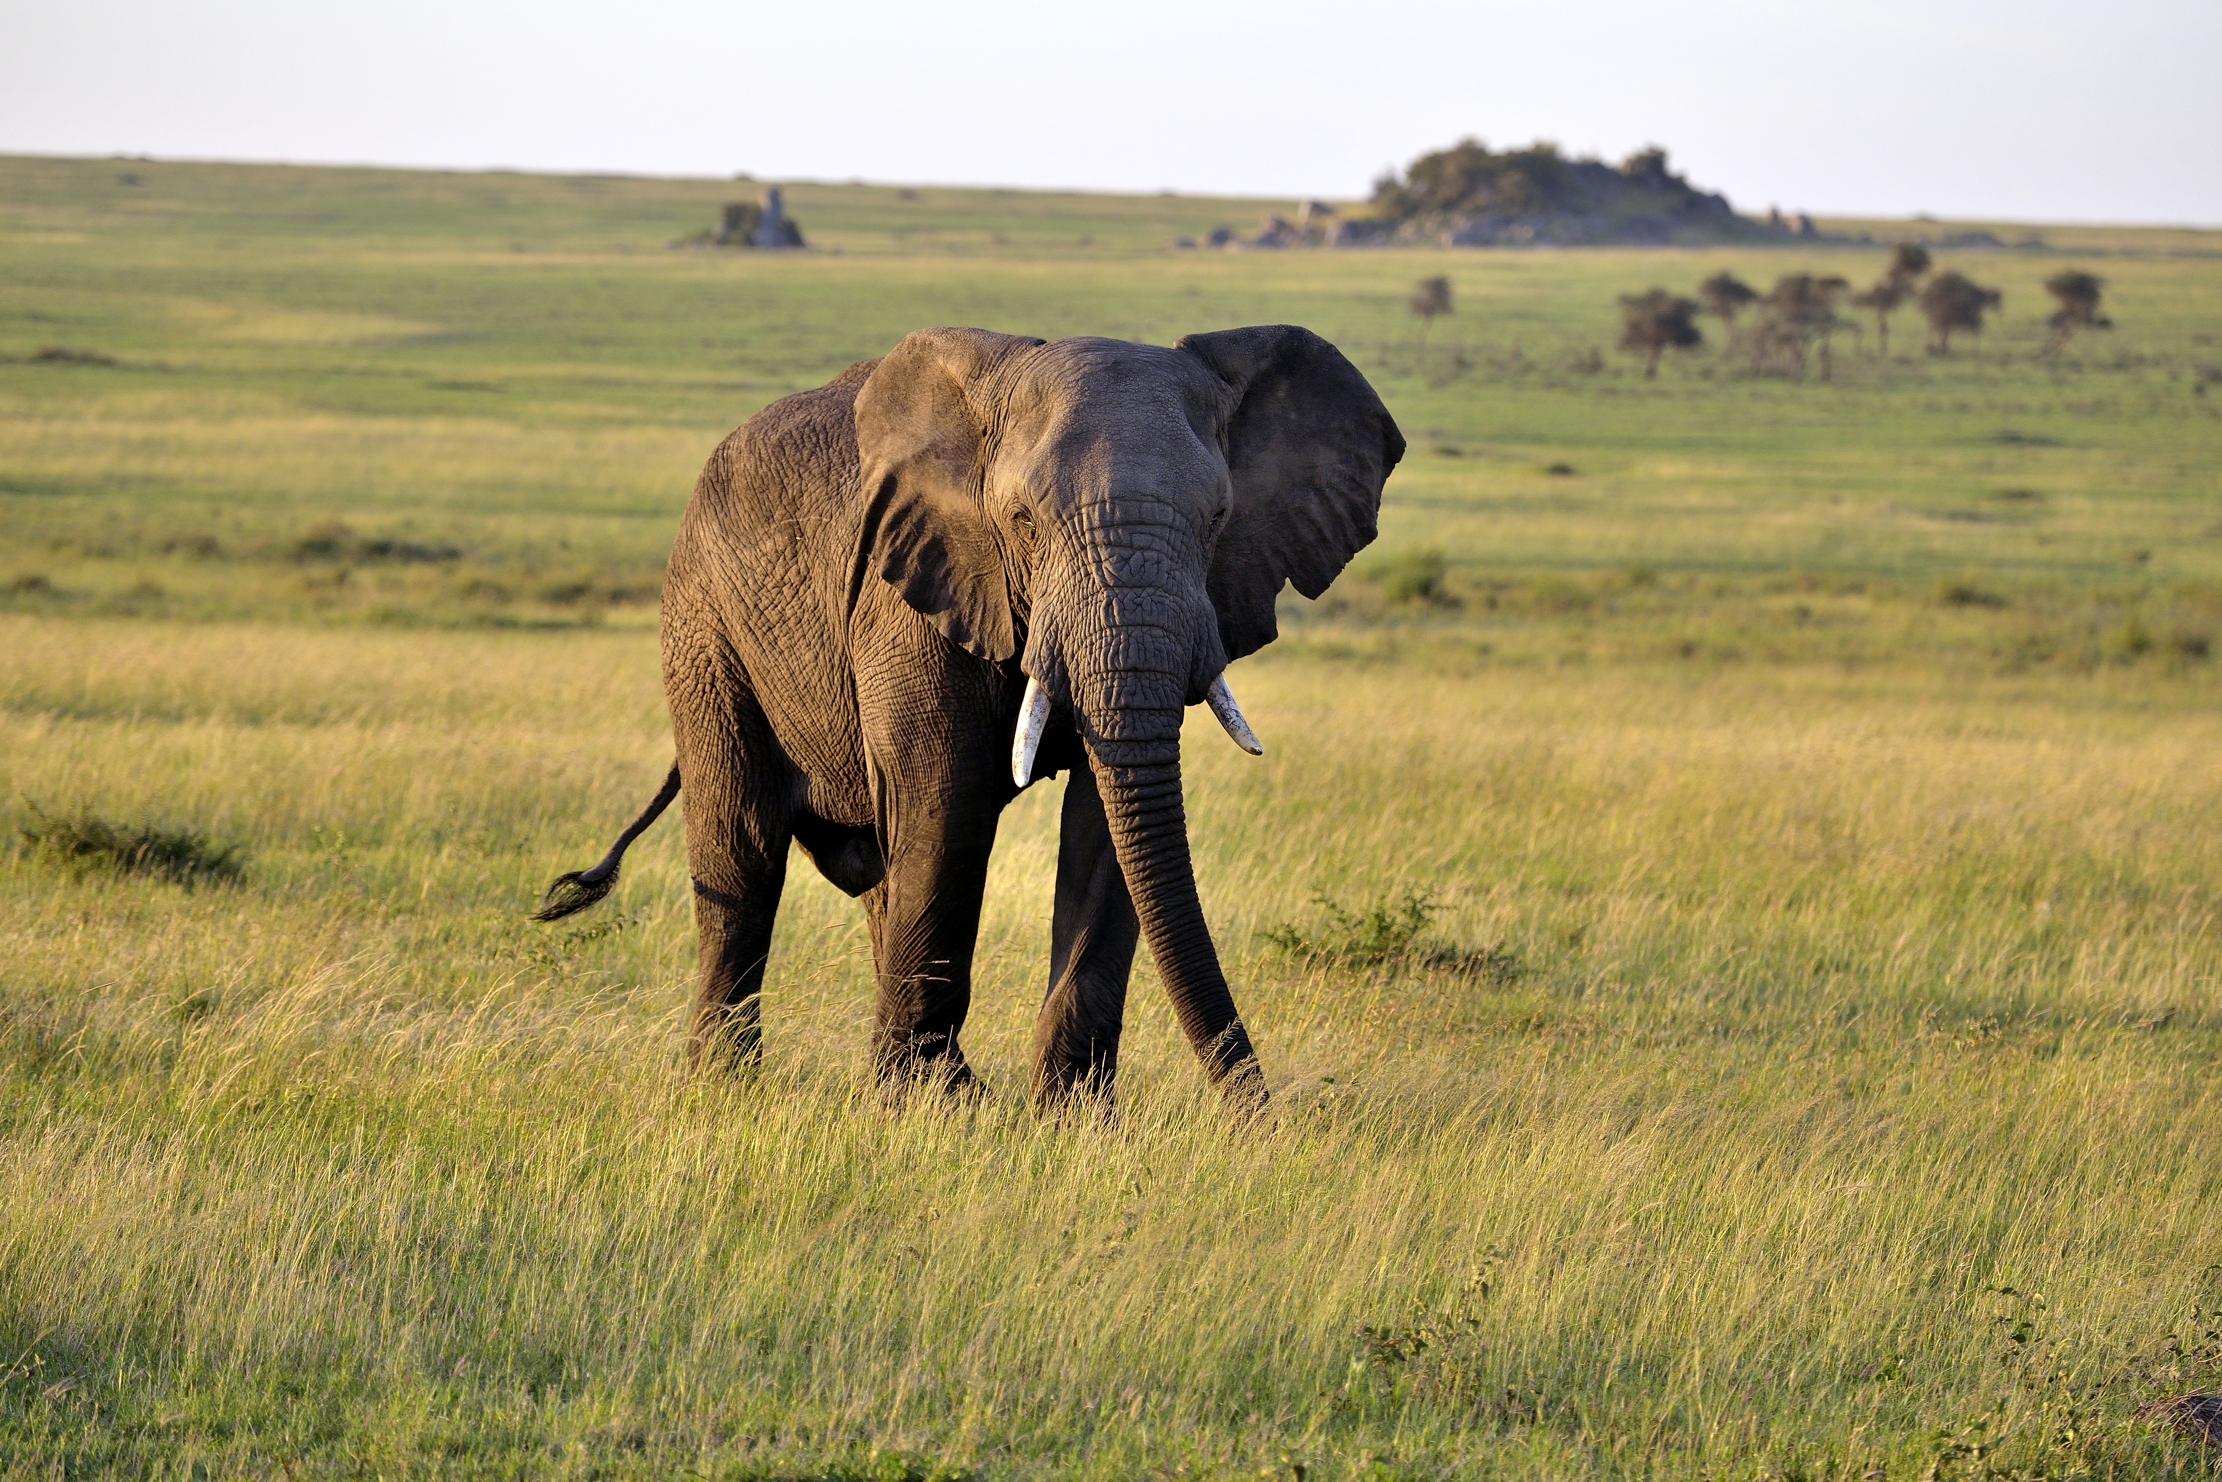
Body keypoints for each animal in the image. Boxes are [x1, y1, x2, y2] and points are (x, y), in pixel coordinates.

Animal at [536, 324, 1403, 1110]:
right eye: (1023, 521)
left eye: (1218, 519)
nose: (1265, 1119)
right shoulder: (909, 585)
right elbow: (944, 799)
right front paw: (926, 1111)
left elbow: (1106, 824)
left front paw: (1072, 1119)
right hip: (704, 624)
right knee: (743, 850)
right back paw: (727, 1088)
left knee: (878, 869)